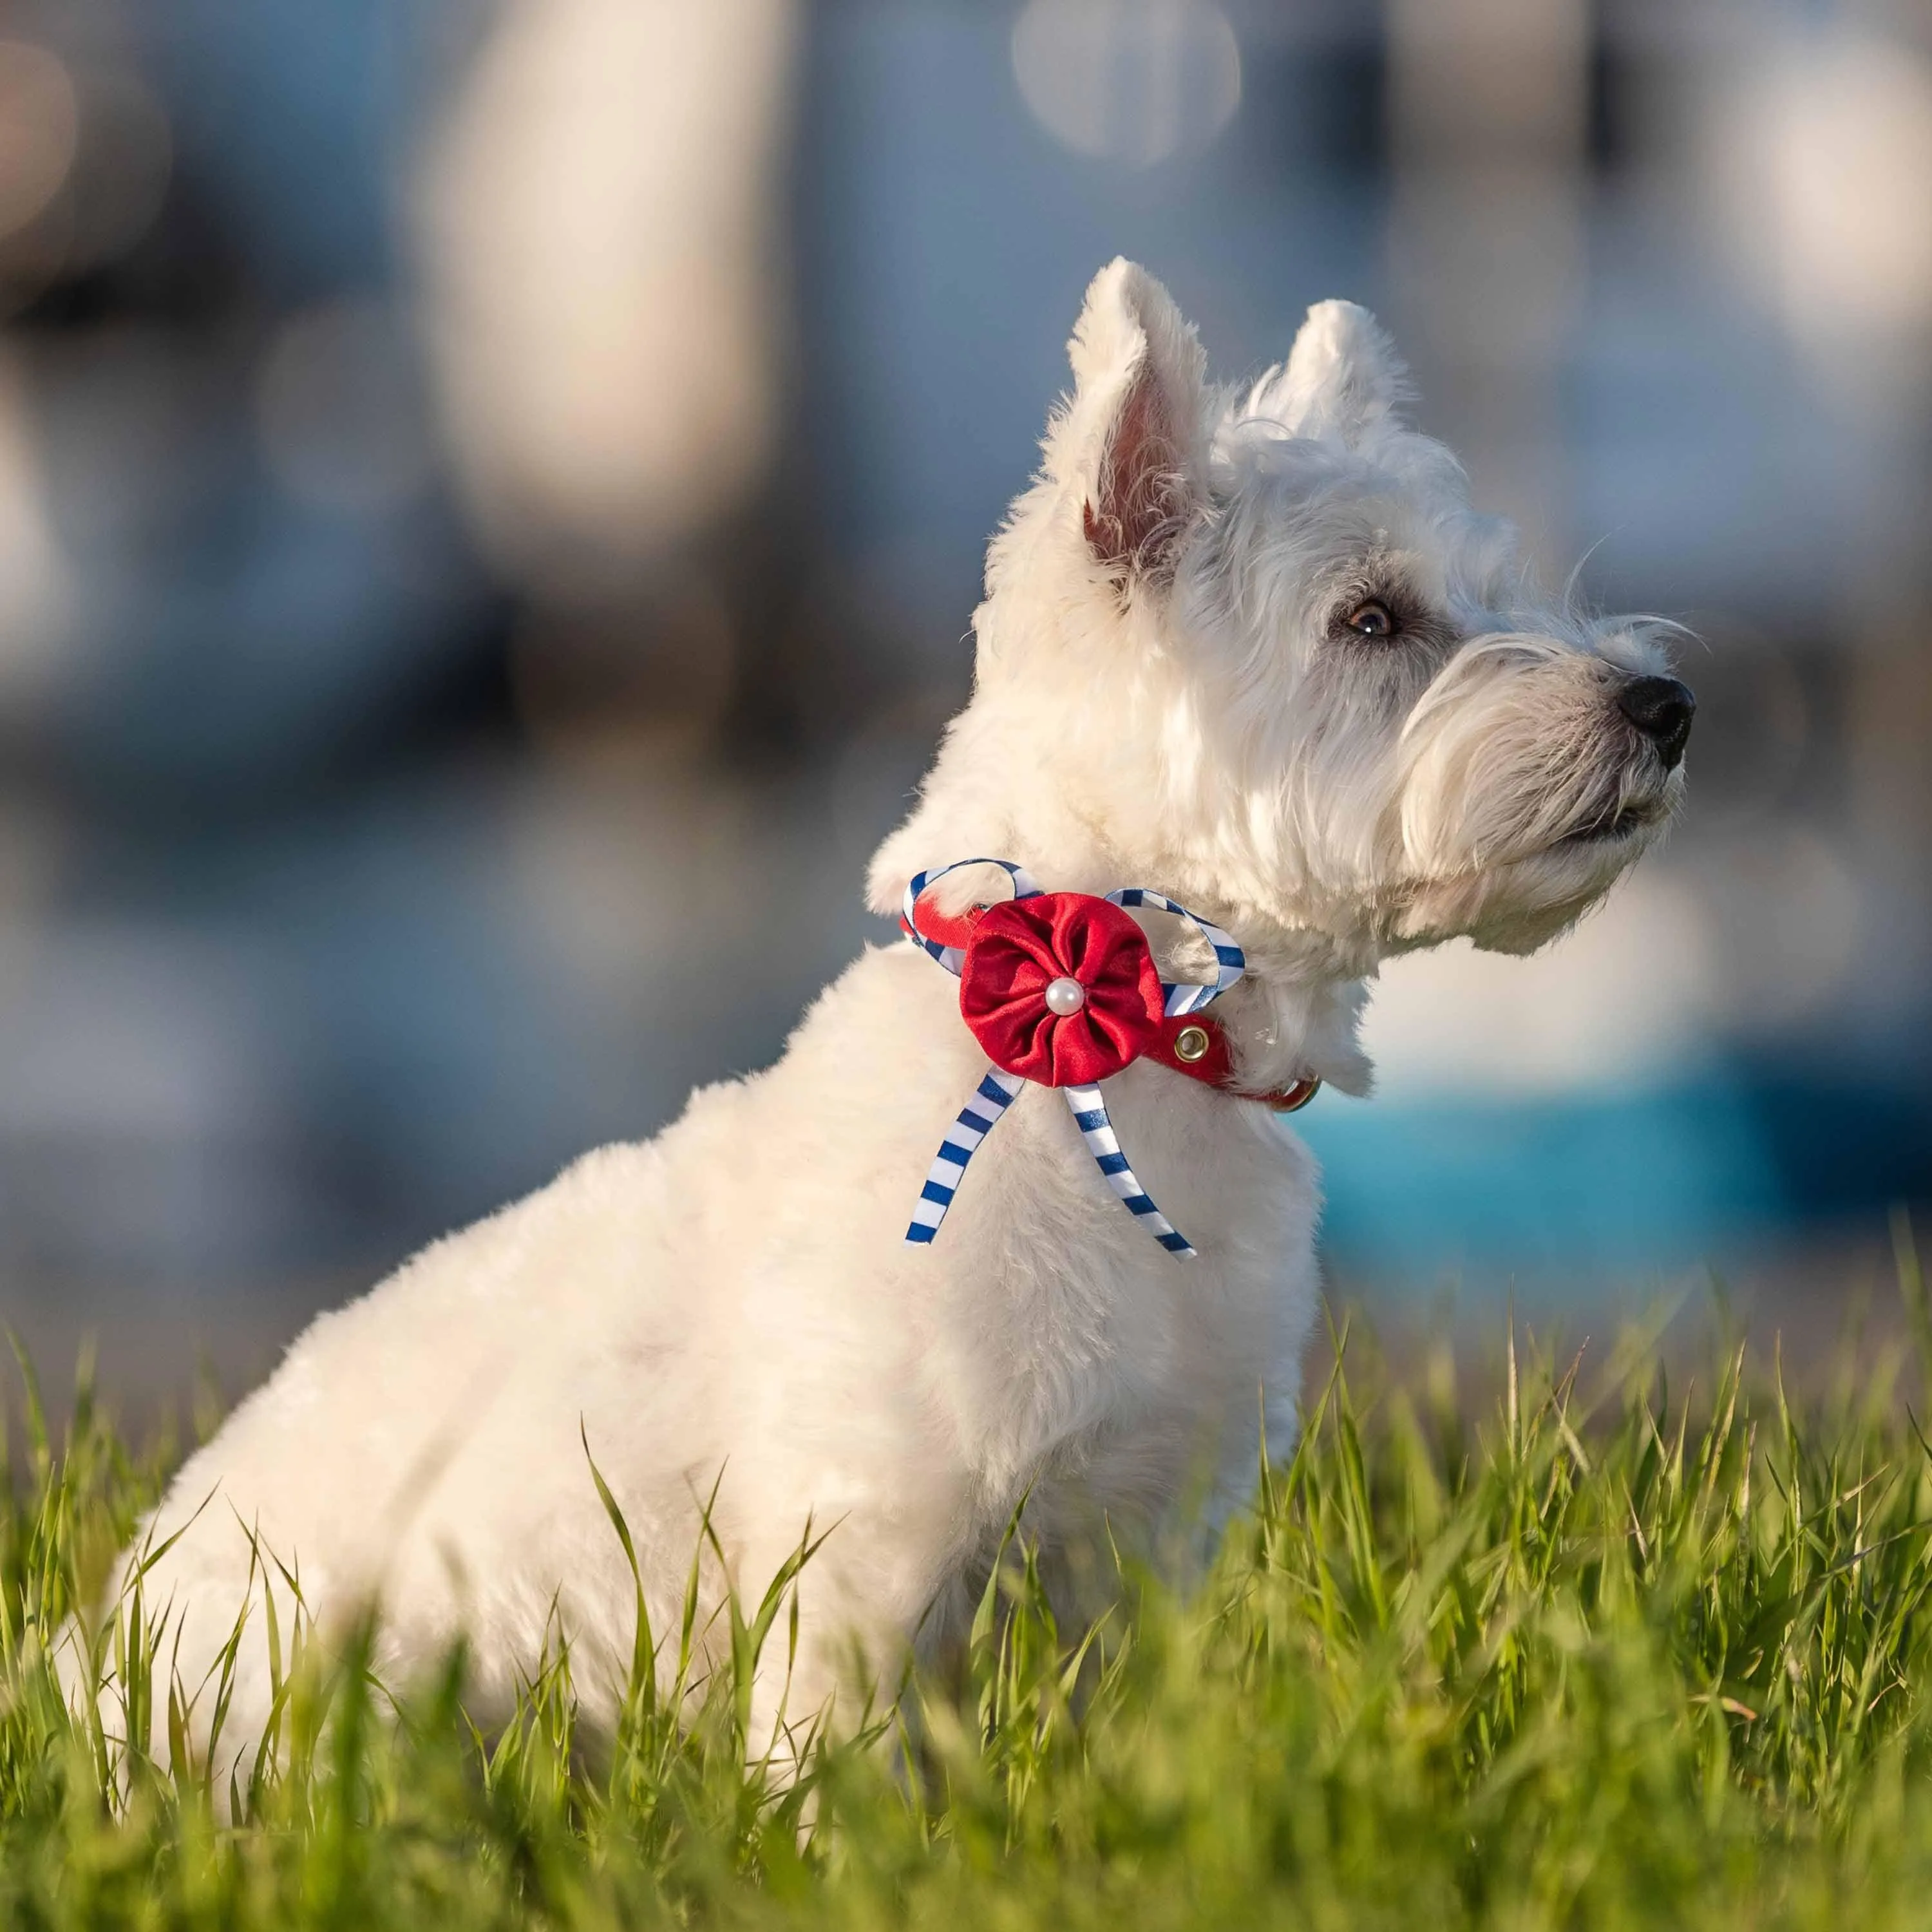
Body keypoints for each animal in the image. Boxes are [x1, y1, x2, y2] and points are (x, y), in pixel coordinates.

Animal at [75, 265, 1692, 1770]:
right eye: (1371, 617)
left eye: (1494, 590)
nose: (1665, 704)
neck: (1118, 1066)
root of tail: (82, 1672)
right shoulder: (864, 1545)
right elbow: (830, 1767)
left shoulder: (1137, 1545)